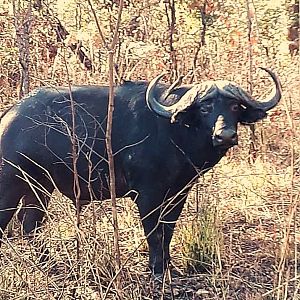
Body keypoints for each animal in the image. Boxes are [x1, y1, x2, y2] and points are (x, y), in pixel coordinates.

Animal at [0, 68, 282, 274]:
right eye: (205, 107)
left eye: (234, 107)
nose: (225, 135)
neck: (174, 132)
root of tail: (9, 116)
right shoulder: (148, 195)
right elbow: (153, 232)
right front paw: (156, 269)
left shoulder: (178, 194)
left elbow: (168, 230)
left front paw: (168, 266)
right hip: (11, 185)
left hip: (39, 187)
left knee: (29, 224)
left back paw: (49, 263)